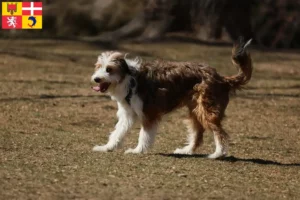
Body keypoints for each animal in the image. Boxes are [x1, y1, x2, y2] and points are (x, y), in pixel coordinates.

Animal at [90, 38, 252, 159]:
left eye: (109, 69)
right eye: (98, 67)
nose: (96, 79)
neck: (129, 78)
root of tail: (221, 78)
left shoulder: (149, 114)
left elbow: (144, 134)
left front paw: (138, 150)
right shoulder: (128, 114)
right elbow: (117, 132)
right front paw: (107, 147)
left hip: (207, 110)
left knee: (220, 132)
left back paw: (218, 154)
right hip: (195, 111)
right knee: (198, 134)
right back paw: (187, 151)